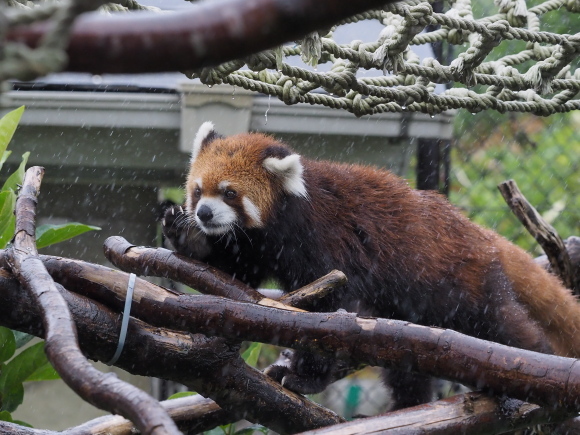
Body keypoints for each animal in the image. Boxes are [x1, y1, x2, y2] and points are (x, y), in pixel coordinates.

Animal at [162, 121, 580, 410]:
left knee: (504, 327)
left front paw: (304, 375)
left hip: (465, 283)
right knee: (406, 370)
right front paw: (185, 236)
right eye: (198, 190)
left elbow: (329, 312)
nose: (204, 213)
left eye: (230, 193)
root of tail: (482, 234)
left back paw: (528, 373)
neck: (284, 220)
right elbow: (234, 269)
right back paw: (409, 404)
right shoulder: (256, 245)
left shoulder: (324, 243)